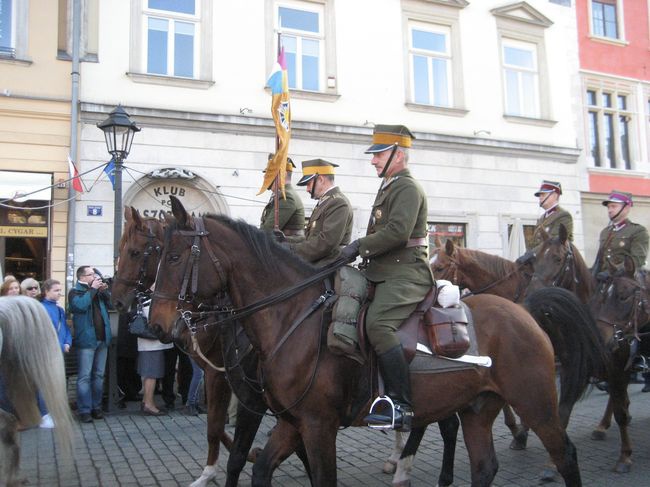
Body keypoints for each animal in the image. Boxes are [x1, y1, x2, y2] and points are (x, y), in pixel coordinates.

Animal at [148, 195, 584, 487]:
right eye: (155, 254)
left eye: (173, 257)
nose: (155, 325)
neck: (292, 317)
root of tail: (524, 311)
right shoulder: (292, 422)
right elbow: (259, 466)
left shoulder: (317, 424)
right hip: (476, 408)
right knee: (483, 467)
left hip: (536, 403)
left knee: (565, 455)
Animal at [524, 227, 644, 474]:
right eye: (534, 259)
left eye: (558, 258)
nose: (529, 296)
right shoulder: (571, 369)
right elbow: (563, 413)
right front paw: (552, 464)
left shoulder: (618, 369)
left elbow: (621, 412)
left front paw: (625, 457)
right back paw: (602, 426)